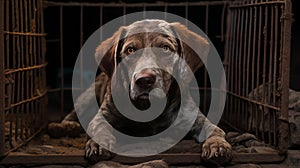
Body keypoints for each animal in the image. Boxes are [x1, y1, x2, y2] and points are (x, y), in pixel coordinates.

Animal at [84, 19, 232, 164]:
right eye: (130, 50)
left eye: (165, 48)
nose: (144, 80)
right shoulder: (102, 115)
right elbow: (99, 127)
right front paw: (98, 144)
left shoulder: (194, 118)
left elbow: (213, 129)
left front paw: (217, 145)